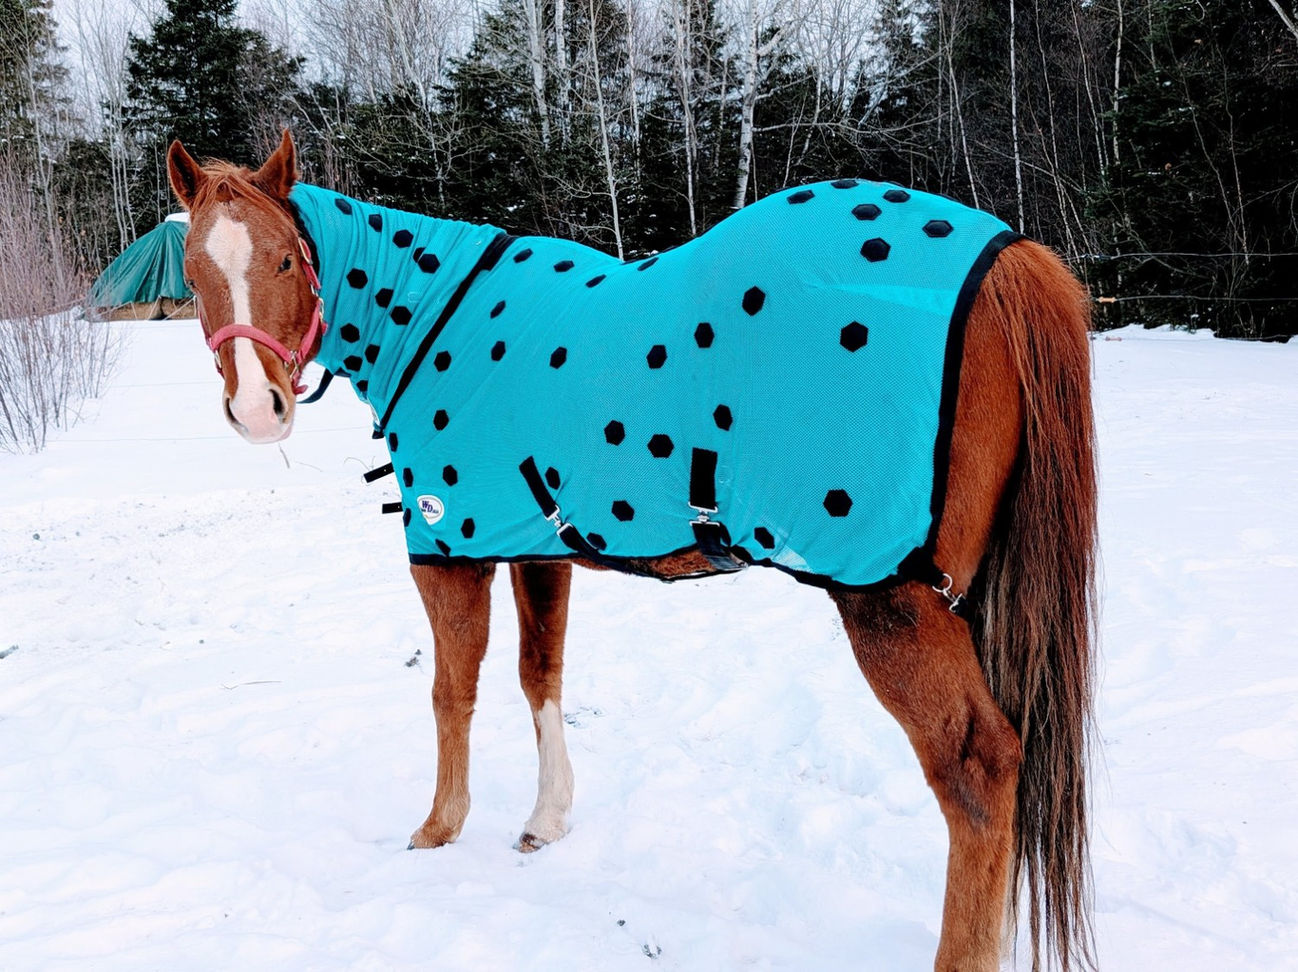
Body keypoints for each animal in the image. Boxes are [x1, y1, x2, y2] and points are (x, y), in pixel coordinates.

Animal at [167, 130, 1096, 972]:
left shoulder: (448, 552)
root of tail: (1010, 257)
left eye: (285, 260)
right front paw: (546, 820)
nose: (257, 410)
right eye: (193, 273)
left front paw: (437, 830)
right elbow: (540, 675)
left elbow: (451, 692)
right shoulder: (537, 552)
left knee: (979, 767)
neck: (435, 320)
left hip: (889, 598)